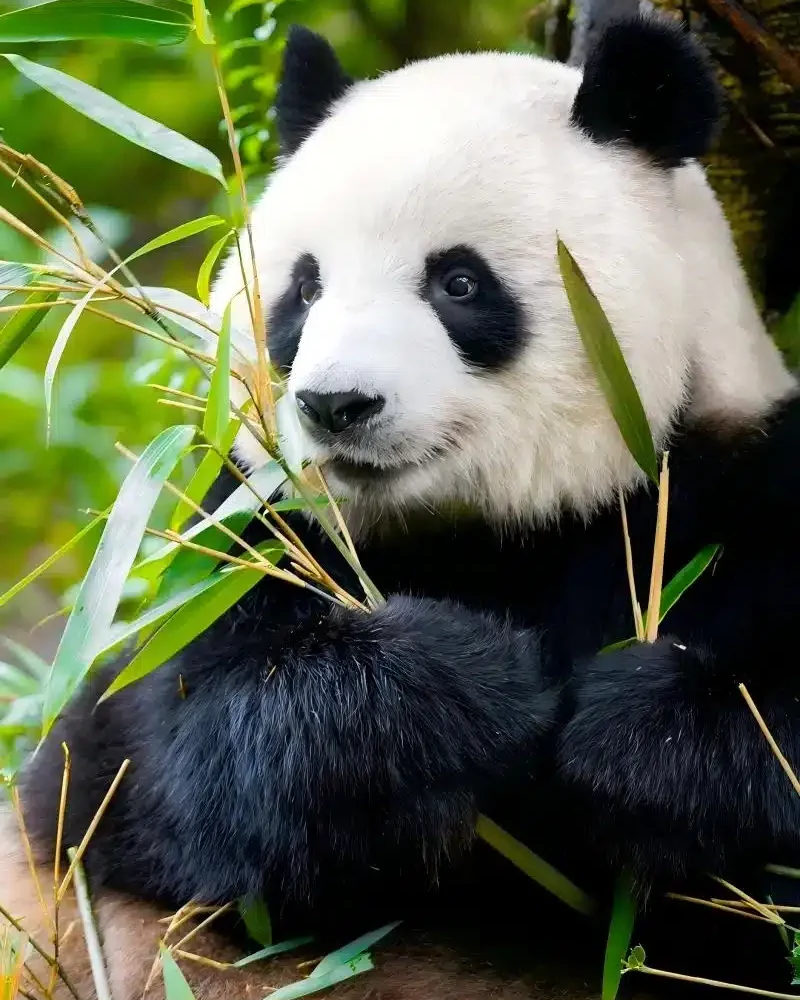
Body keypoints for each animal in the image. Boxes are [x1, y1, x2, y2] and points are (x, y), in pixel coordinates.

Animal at [6, 11, 800, 1000]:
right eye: (304, 287)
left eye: (458, 282)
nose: (336, 405)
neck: (481, 534)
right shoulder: (239, 536)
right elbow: (158, 761)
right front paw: (467, 683)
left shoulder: (734, 491)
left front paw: (636, 736)